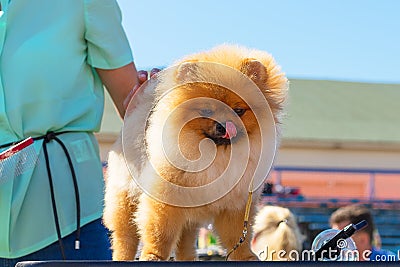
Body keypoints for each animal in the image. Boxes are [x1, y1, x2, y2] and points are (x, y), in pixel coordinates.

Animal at [103, 45, 288, 262]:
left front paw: (245, 256)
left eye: (239, 110)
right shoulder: (165, 198)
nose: (224, 125)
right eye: (206, 111)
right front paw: (153, 255)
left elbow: (238, 235)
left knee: (186, 240)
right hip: (126, 197)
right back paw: (122, 257)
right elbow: (160, 231)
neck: (216, 154)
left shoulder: (237, 203)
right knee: (125, 236)